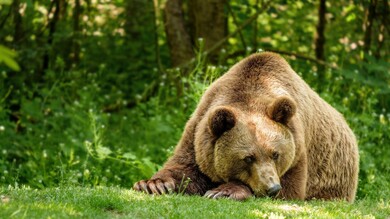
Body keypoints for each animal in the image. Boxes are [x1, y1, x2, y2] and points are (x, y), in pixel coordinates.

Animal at [133, 51, 358, 202]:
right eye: (248, 158)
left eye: (275, 154)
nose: (272, 187)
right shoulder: (199, 131)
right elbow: (184, 168)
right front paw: (152, 185)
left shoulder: (298, 150)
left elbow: (291, 189)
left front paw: (222, 191)